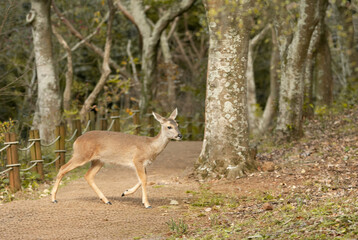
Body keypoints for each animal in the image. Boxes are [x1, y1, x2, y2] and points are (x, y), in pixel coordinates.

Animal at [51, 109, 182, 208]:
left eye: (177, 124)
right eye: (169, 126)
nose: (179, 135)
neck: (150, 147)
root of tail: (76, 141)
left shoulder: (143, 164)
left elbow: (143, 180)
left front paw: (125, 192)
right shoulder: (137, 160)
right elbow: (144, 180)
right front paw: (147, 204)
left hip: (99, 160)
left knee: (88, 175)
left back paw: (106, 200)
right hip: (81, 155)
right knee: (62, 168)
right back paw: (53, 199)